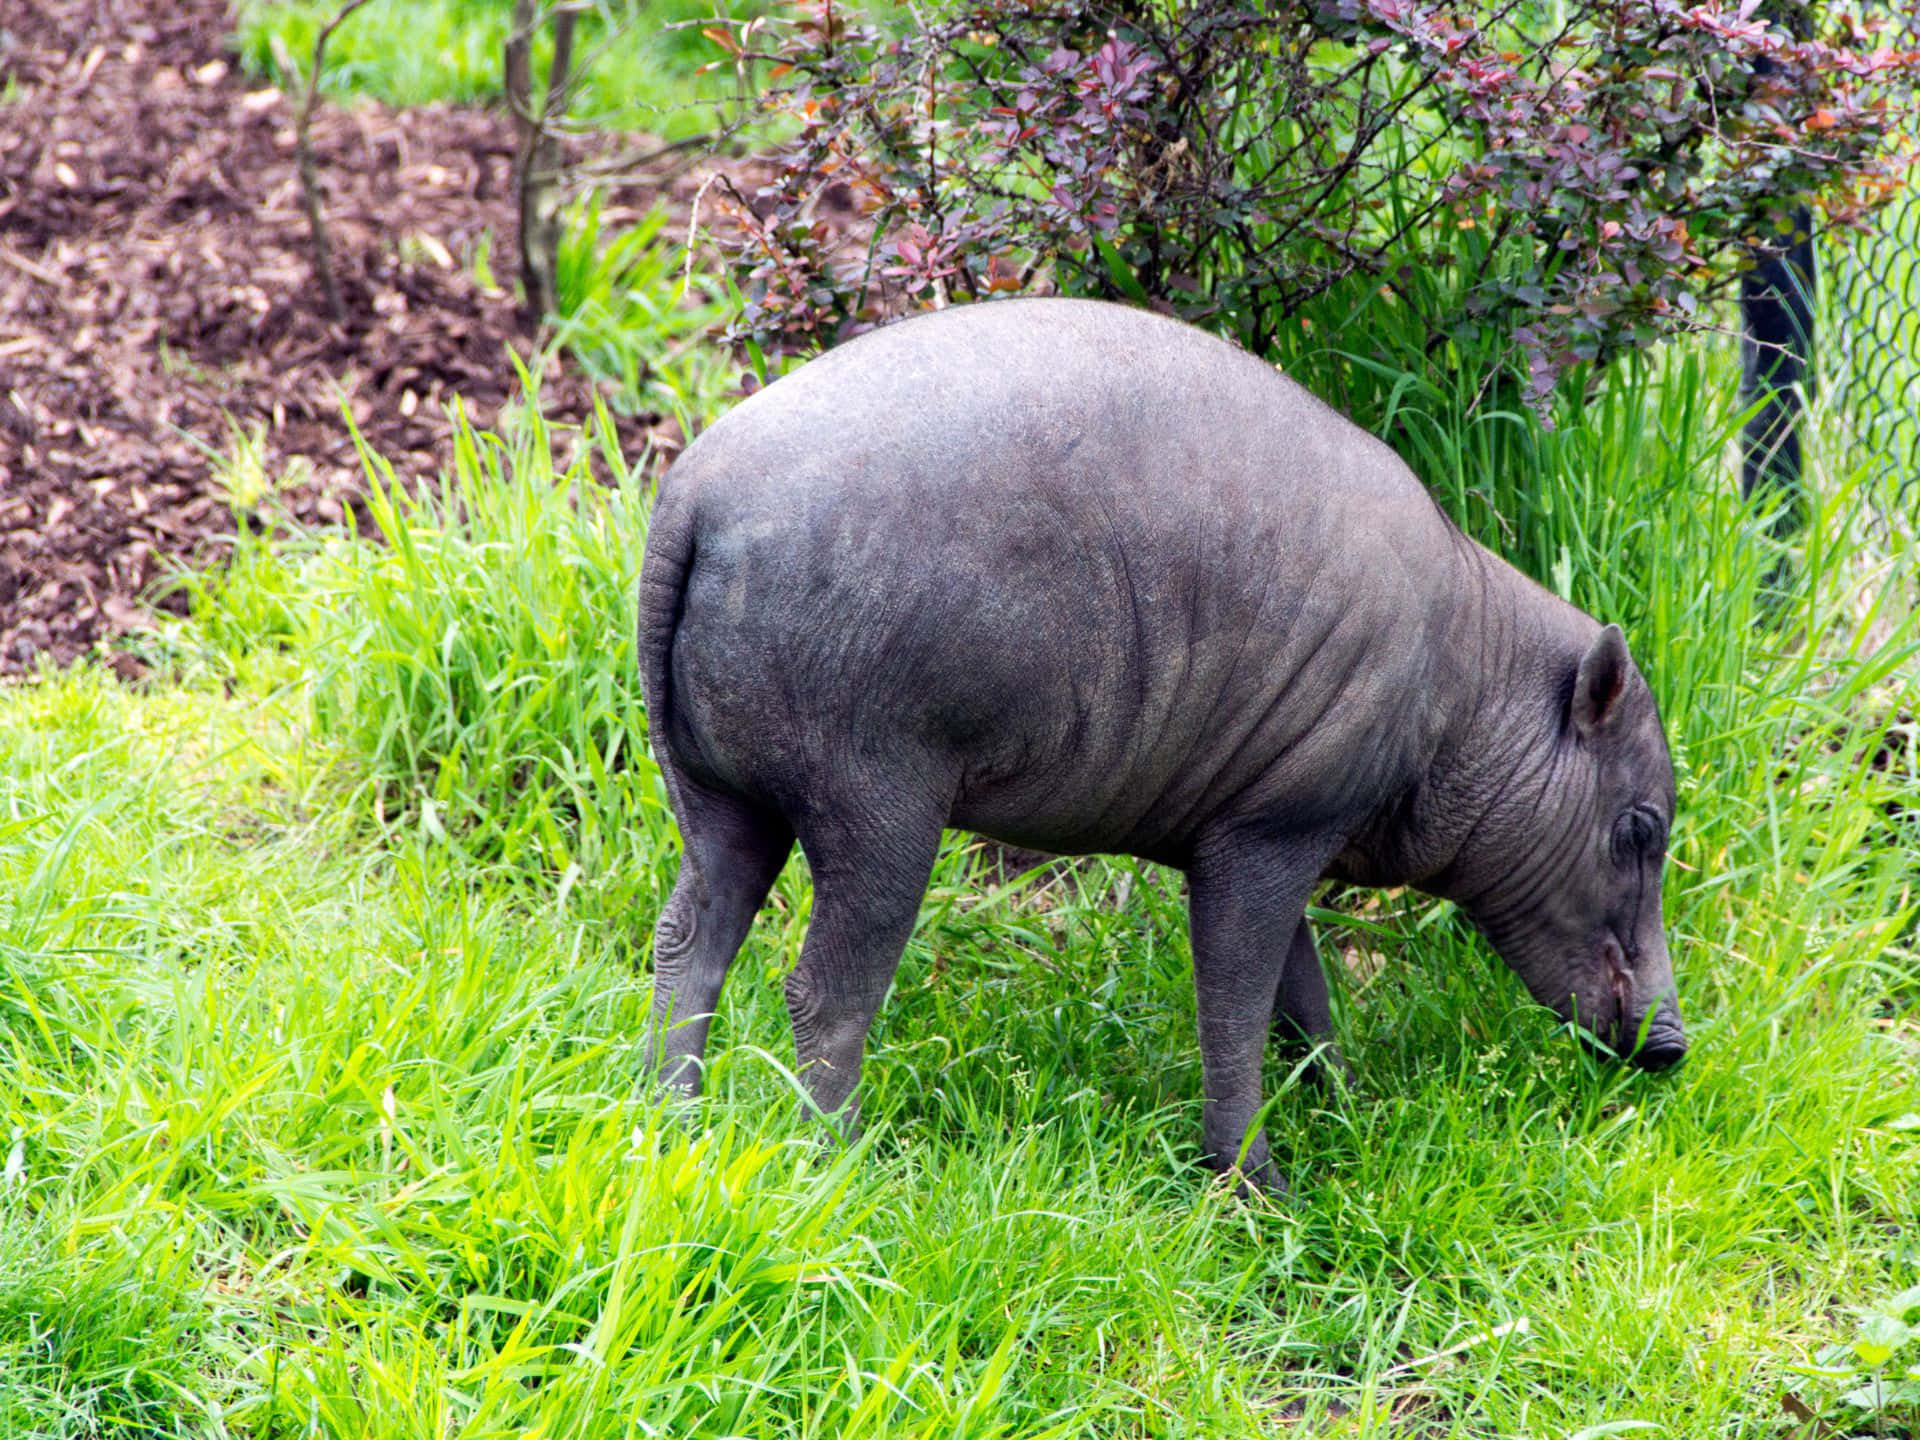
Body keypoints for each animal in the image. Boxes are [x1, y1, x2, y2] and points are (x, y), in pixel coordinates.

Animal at [633, 295, 1681, 1198]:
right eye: (1640, 830)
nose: (1671, 1047)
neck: (1465, 694)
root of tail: (694, 497)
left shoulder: (1260, 831)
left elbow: (1302, 997)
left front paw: (1343, 1112)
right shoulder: (1268, 838)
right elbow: (1238, 1008)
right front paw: (1257, 1185)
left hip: (721, 800)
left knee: (688, 945)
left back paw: (671, 1128)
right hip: (876, 809)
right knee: (822, 993)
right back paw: (842, 1164)